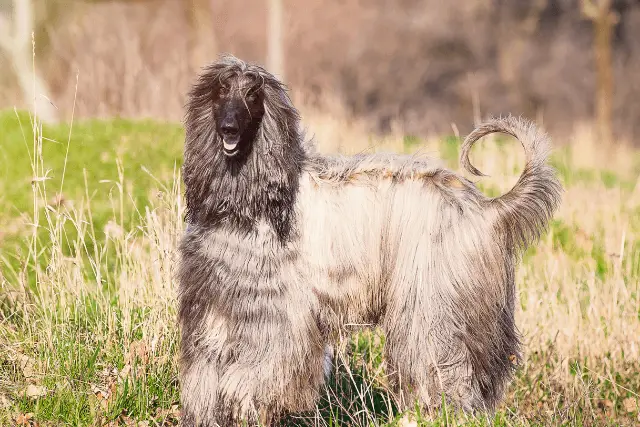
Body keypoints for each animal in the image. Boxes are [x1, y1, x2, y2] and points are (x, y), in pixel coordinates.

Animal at [178, 55, 564, 426]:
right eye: (221, 90)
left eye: (252, 94)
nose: (228, 129)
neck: (248, 198)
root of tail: (486, 208)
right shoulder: (215, 306)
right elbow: (206, 369)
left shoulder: (274, 315)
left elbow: (255, 375)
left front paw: (245, 408)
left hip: (433, 302)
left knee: (442, 361)